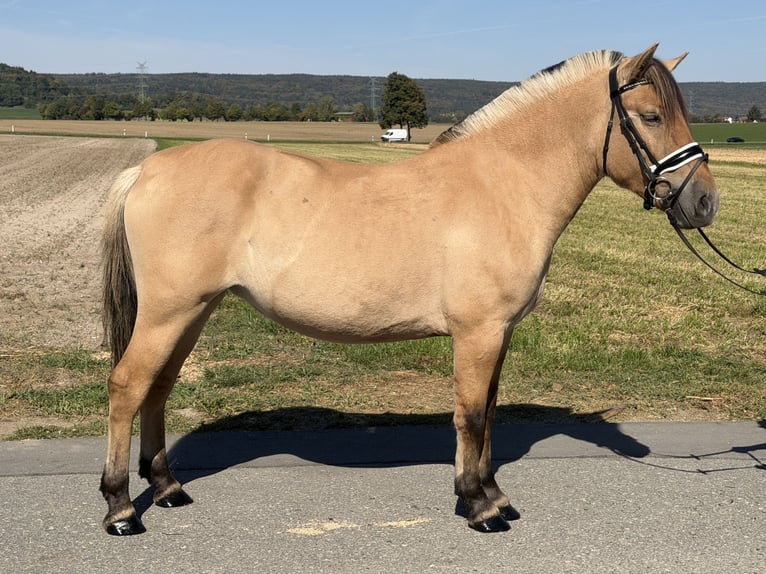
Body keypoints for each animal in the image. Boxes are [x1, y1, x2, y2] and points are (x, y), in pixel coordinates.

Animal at [99, 44, 719, 535]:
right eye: (651, 115)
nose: (705, 202)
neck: (502, 185)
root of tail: (148, 170)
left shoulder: (499, 334)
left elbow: (490, 413)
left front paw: (494, 496)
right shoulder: (478, 333)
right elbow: (470, 415)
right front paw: (479, 507)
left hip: (193, 312)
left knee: (158, 389)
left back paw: (168, 488)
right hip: (168, 312)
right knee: (128, 387)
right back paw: (121, 509)